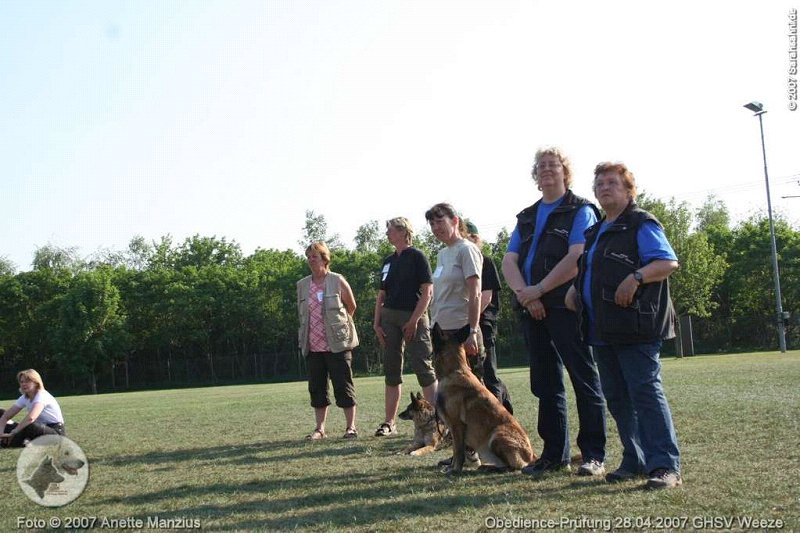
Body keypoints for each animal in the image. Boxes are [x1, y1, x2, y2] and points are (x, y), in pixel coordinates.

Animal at [432, 324, 536, 473]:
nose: (432, 325)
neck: (454, 372)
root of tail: (533, 455)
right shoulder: (453, 428)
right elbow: (455, 451)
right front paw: (451, 467)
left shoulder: (457, 426)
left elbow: (458, 451)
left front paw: (455, 469)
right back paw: (486, 467)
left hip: (497, 436)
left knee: (513, 467)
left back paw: (490, 469)